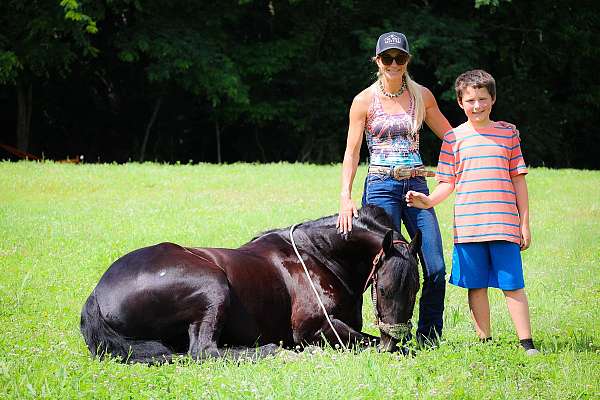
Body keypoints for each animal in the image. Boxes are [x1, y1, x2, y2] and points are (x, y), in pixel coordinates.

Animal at [81, 205, 422, 364]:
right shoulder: (314, 329)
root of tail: (97, 295)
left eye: (415, 290)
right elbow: (368, 342)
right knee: (204, 351)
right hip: (212, 287)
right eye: (384, 289)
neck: (318, 256)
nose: (391, 341)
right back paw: (277, 351)